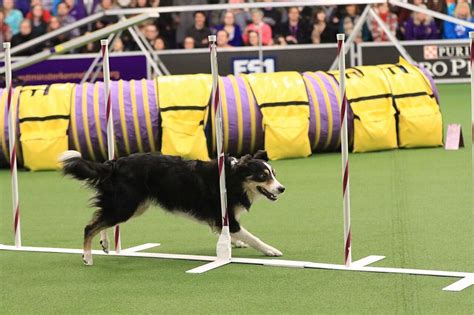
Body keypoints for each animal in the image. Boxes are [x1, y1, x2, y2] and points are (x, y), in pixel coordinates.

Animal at [59, 151, 286, 266]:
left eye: (274, 174)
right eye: (263, 176)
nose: (282, 188)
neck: (233, 179)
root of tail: (113, 164)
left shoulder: (223, 217)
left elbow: (229, 232)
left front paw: (235, 242)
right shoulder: (224, 214)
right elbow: (253, 237)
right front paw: (271, 250)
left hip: (134, 205)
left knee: (100, 219)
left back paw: (105, 243)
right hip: (127, 205)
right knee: (90, 226)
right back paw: (87, 257)